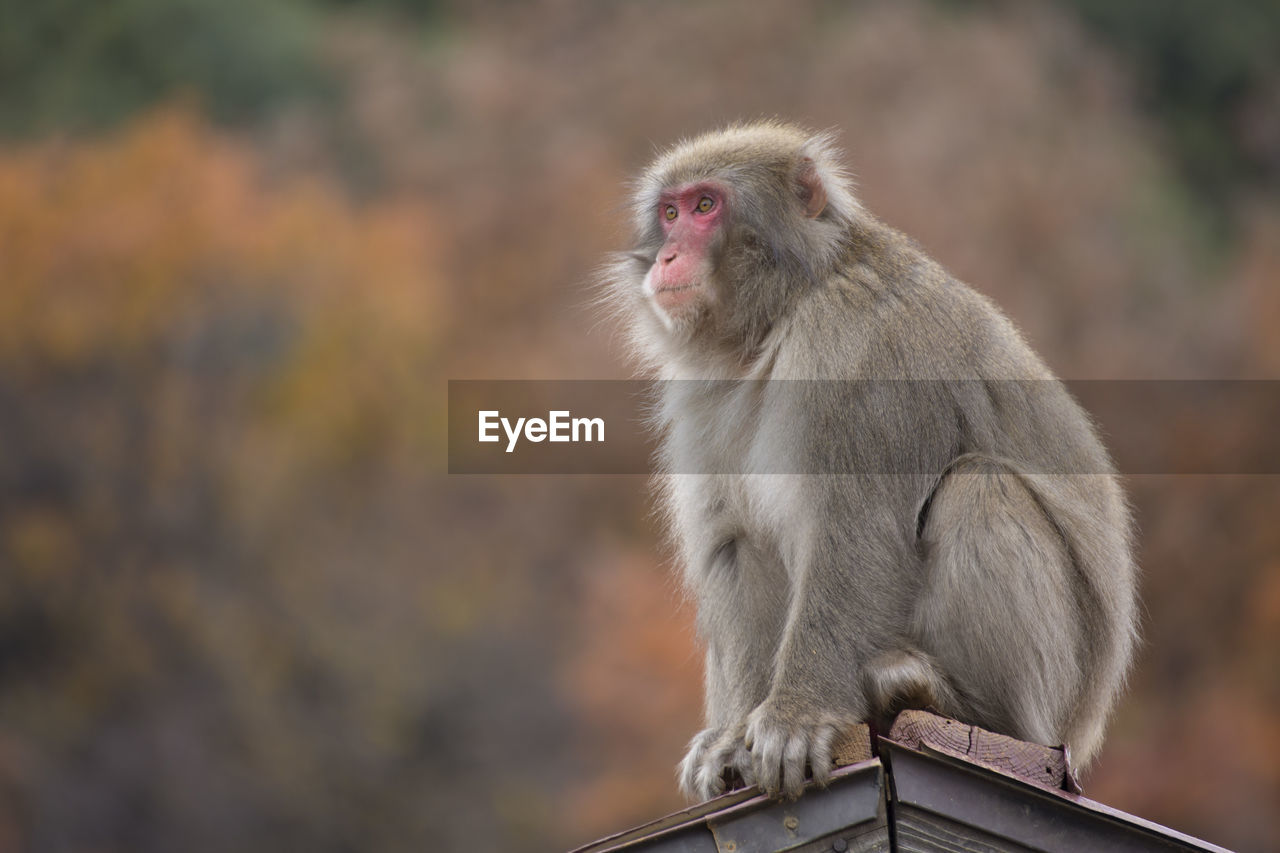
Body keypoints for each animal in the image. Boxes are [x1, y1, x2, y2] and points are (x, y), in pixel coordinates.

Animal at [599, 117, 1141, 799]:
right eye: (669, 214)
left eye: (704, 207)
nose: (669, 257)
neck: (784, 311)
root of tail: (1085, 722)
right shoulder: (703, 392)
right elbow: (738, 543)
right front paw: (730, 738)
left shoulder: (855, 352)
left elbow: (855, 528)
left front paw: (797, 716)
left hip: (1055, 705)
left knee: (981, 487)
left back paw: (959, 704)